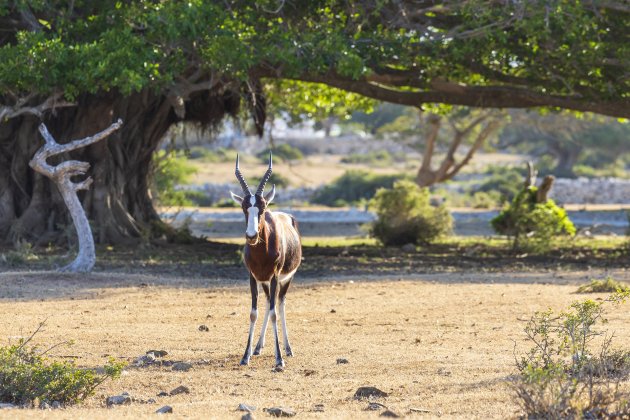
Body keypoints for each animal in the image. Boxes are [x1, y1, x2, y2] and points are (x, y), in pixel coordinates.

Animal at [231, 153, 302, 368]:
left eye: (262, 208)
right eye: (244, 208)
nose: (252, 236)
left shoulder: (275, 276)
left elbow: (274, 313)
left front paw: (279, 359)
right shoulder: (253, 277)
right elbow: (254, 312)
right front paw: (245, 356)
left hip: (285, 279)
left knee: (279, 303)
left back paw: (288, 349)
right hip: (265, 281)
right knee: (269, 301)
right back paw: (257, 347)